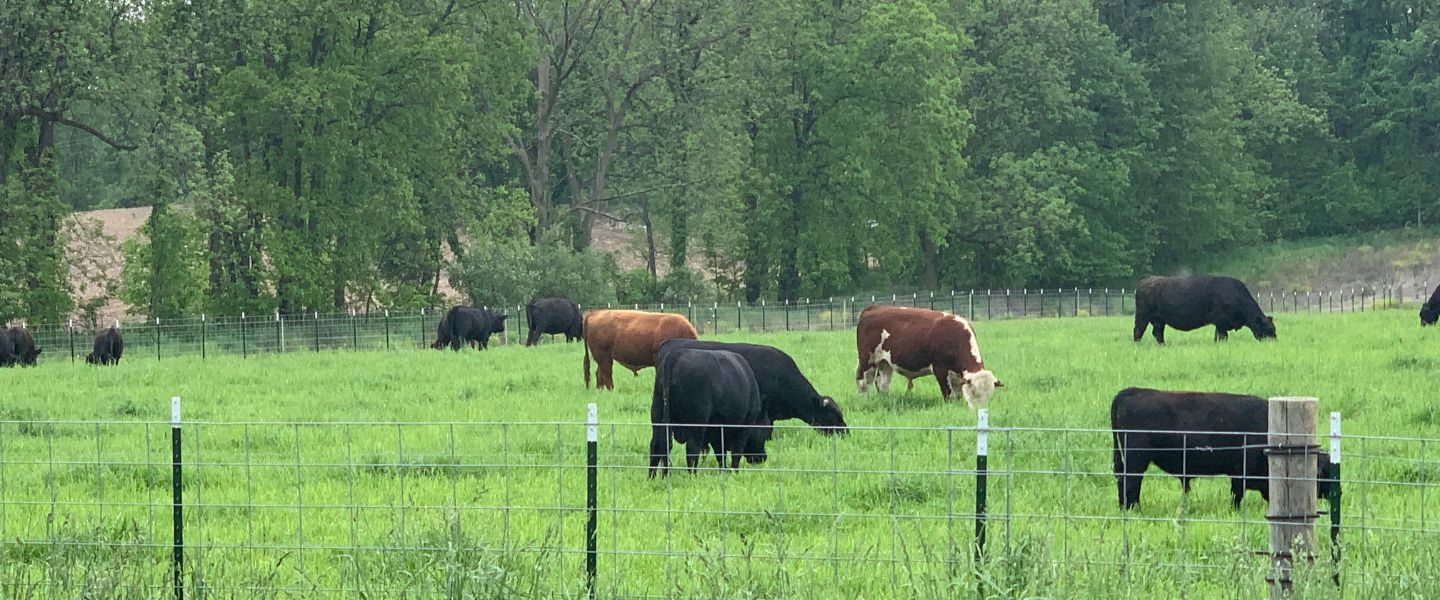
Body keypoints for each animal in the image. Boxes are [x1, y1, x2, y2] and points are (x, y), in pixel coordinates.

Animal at [648, 348, 766, 478]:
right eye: (765, 434)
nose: (763, 457)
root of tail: (676, 354)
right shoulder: (744, 427)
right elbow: (736, 452)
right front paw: (734, 473)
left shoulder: (716, 431)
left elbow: (720, 453)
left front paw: (724, 472)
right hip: (697, 423)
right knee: (692, 449)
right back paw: (693, 475)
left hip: (657, 414)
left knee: (657, 445)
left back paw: (652, 476)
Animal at [854, 305, 1002, 408]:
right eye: (975, 392)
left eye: (989, 394)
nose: (980, 411)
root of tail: (874, 307)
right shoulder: (940, 369)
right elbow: (948, 394)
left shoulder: (957, 376)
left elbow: (958, 395)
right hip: (867, 360)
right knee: (863, 382)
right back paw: (864, 401)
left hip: (885, 362)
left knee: (882, 383)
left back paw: (884, 400)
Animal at [1112, 387, 1333, 510]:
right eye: (1325, 474)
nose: (1332, 495)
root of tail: (1134, 391)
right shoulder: (1240, 473)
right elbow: (1237, 495)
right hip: (1136, 460)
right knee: (1130, 483)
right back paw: (1133, 509)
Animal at [1133, 276, 1276, 344]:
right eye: (1269, 329)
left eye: (1274, 329)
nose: (1274, 341)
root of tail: (1147, 278)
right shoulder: (1221, 321)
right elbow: (1223, 336)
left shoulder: (1219, 324)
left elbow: (1217, 337)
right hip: (1142, 315)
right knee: (1138, 331)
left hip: (1159, 320)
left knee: (1157, 333)